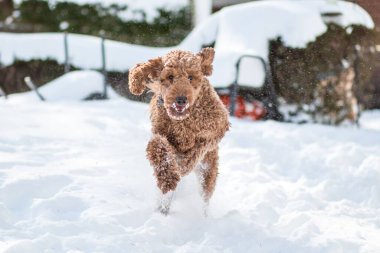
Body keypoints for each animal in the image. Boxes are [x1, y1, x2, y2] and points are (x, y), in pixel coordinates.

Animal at [128, 47, 229, 213]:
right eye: (170, 76)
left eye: (190, 77)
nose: (181, 99)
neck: (182, 121)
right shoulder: (159, 133)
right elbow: (157, 147)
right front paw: (168, 176)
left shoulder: (217, 127)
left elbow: (197, 149)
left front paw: (183, 164)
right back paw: (163, 207)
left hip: (208, 170)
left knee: (205, 195)